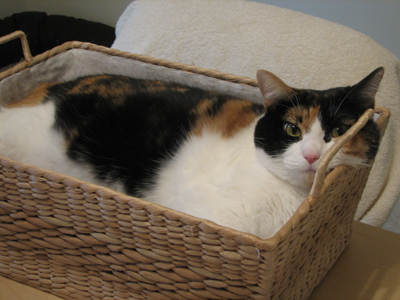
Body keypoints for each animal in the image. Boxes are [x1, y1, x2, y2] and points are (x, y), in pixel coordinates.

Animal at [0, 68, 382, 239]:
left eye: (339, 132)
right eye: (292, 130)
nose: (313, 157)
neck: (291, 200)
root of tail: (45, 87)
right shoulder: (213, 215)